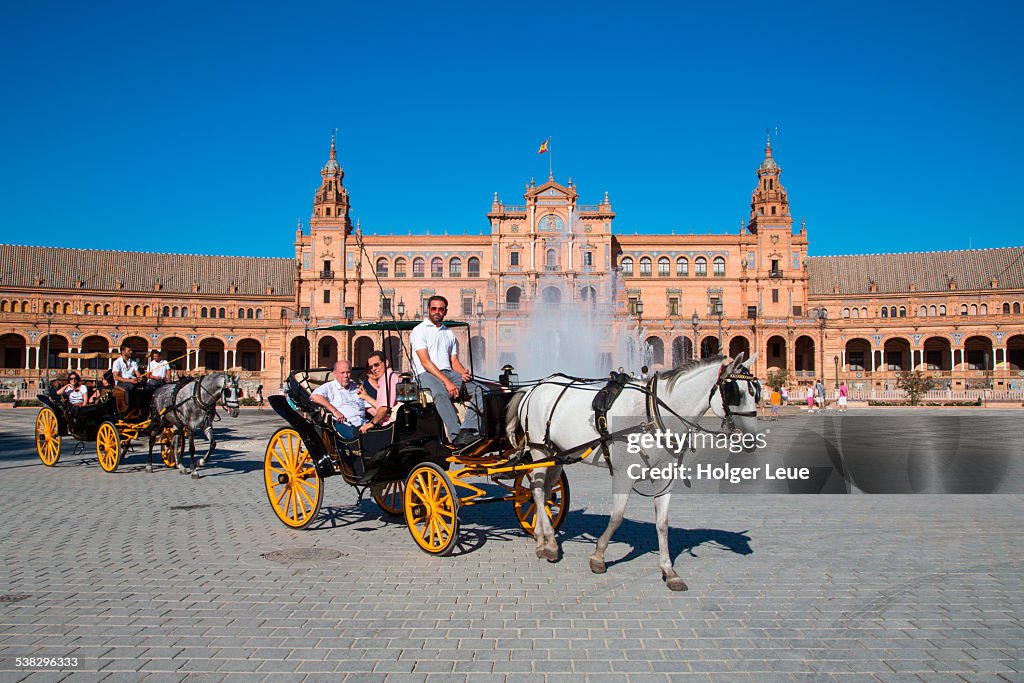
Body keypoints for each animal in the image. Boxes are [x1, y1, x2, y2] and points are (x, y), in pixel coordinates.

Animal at [503, 356, 761, 589]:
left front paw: (669, 571)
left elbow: (663, 523)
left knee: (543, 493)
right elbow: (616, 517)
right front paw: (598, 558)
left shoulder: (666, 476)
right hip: (539, 449)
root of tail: (534, 387)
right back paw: (551, 545)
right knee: (537, 492)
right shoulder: (623, 474)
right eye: (734, 392)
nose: (753, 438)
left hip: (557, 455)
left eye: (756, 392)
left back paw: (541, 540)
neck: (653, 414)